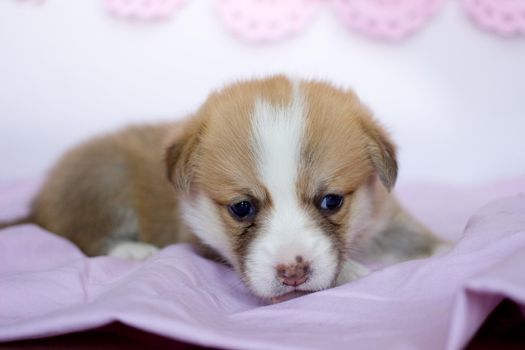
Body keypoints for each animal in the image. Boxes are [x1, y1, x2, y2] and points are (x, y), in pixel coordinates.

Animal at [4, 76, 446, 300]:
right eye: (241, 208)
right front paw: (351, 270)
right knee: (80, 234)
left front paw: (451, 250)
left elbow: (418, 239)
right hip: (106, 176)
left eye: (331, 200)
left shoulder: (382, 216)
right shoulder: (197, 238)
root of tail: (38, 204)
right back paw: (132, 249)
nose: (293, 272)